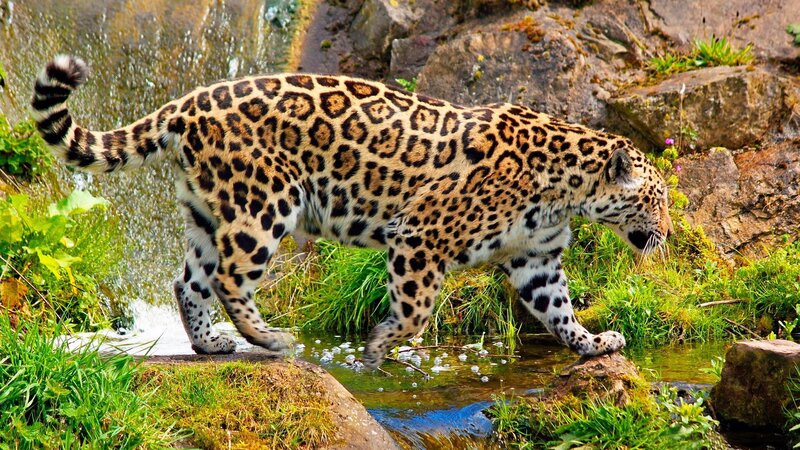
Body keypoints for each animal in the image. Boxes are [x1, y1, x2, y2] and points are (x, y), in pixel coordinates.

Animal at [32, 55, 672, 369]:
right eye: (659, 200)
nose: (666, 234)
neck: (567, 188)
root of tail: (187, 103)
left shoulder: (535, 260)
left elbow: (559, 310)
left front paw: (594, 344)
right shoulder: (420, 235)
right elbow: (416, 311)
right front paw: (379, 347)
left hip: (208, 212)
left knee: (188, 279)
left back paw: (211, 345)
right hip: (264, 203)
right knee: (230, 277)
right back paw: (272, 340)